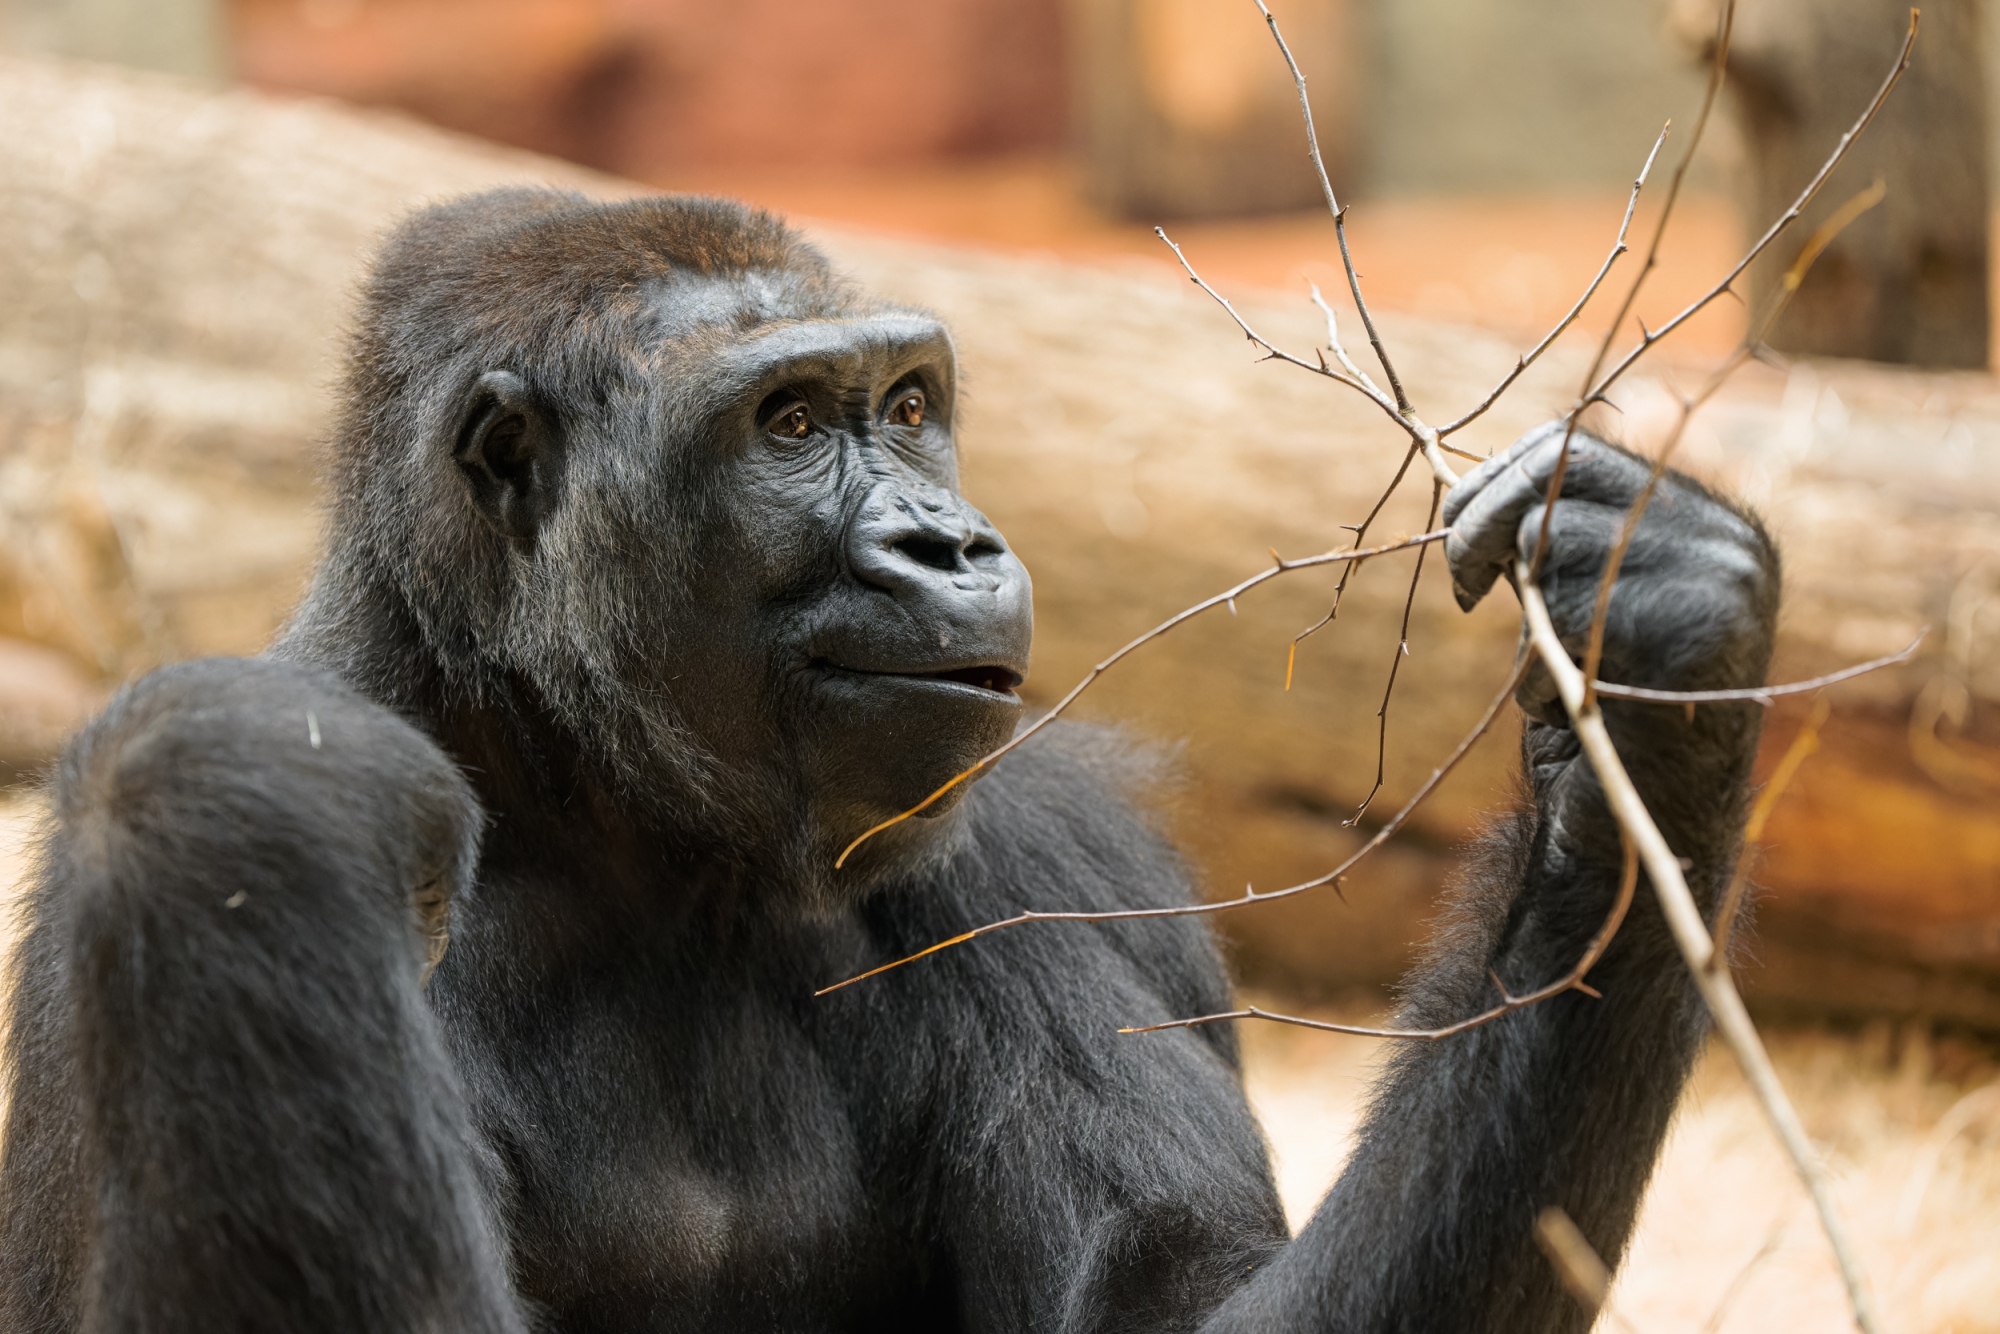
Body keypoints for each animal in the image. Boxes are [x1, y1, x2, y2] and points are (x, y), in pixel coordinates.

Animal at [0, 190, 1784, 1334]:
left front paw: (1656, 663)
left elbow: (1172, 1314)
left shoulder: (1028, 845)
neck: (599, 804)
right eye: (790, 424)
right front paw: (240, 811)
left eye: (911, 404)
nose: (951, 540)